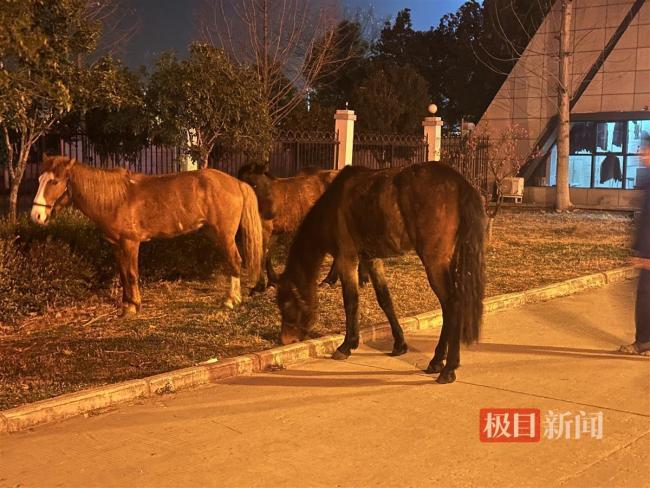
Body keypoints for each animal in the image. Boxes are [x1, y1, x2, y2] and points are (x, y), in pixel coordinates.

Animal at [31, 156, 262, 316]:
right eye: (39, 179)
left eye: (55, 182)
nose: (36, 216)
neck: (115, 199)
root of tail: (236, 183)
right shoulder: (117, 245)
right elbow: (123, 274)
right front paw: (127, 305)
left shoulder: (131, 243)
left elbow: (132, 274)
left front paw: (135, 306)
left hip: (225, 235)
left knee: (235, 261)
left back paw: (231, 300)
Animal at [276, 164, 484, 386]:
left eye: (286, 305)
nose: (284, 340)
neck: (332, 206)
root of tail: (459, 183)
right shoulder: (371, 259)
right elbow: (385, 300)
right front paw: (399, 344)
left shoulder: (346, 258)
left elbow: (351, 301)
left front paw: (347, 345)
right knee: (448, 307)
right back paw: (437, 361)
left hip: (434, 262)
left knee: (452, 305)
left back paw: (448, 368)